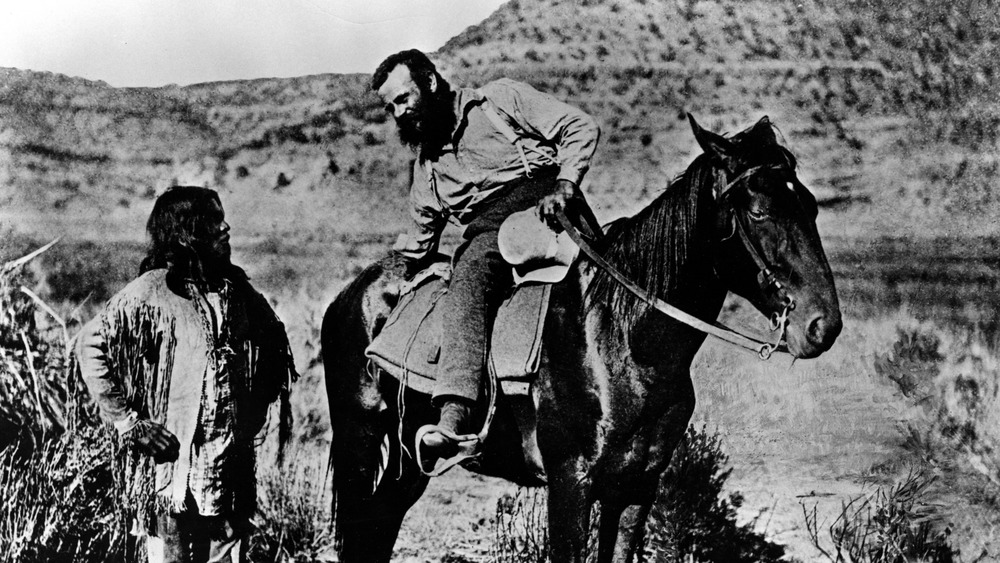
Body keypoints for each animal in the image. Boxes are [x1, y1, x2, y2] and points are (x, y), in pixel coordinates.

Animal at [324, 115, 840, 563]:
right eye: (759, 211)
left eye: (812, 205)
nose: (823, 325)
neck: (622, 340)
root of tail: (353, 292)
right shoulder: (571, 481)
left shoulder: (637, 487)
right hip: (359, 438)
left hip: (408, 461)